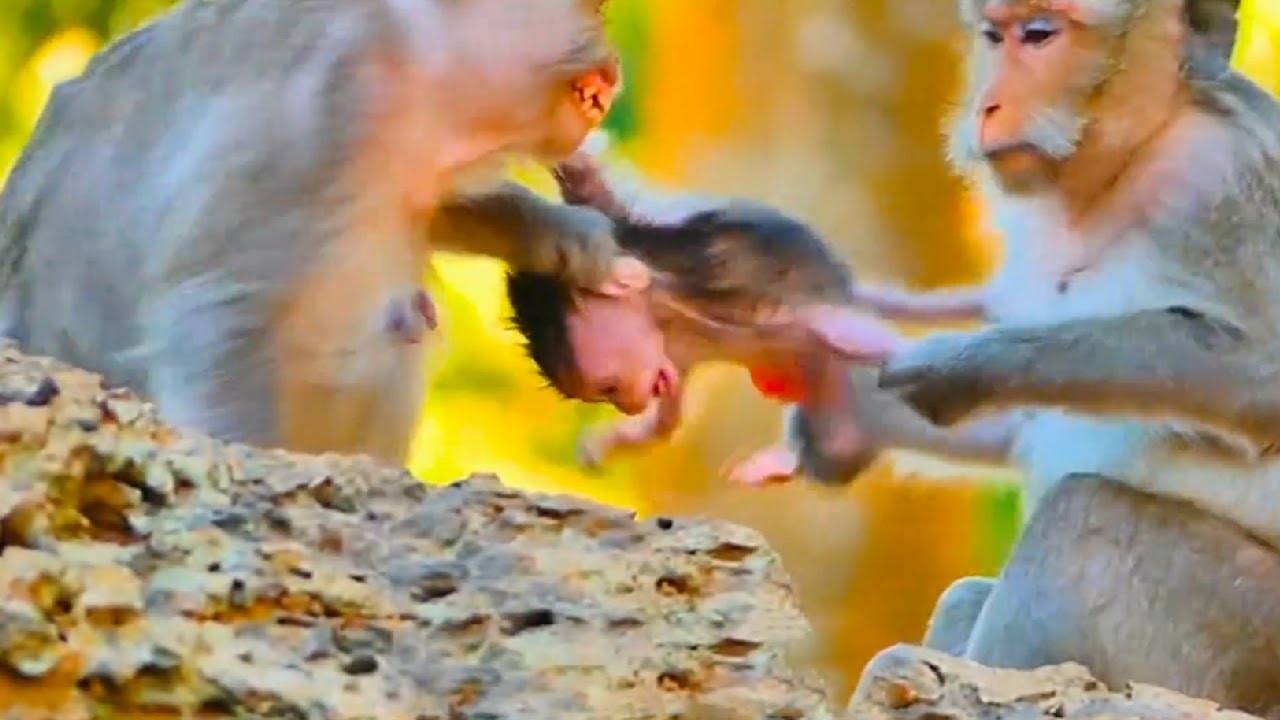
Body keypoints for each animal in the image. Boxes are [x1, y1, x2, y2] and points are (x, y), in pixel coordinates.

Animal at [0, 0, 645, 464]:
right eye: (595, 7)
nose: (616, 64)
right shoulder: (320, 107)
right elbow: (218, 303)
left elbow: (432, 206)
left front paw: (573, 240)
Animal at [761, 0, 1280, 713]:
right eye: (993, 36)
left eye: (1039, 36)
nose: (989, 104)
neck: (1129, 163)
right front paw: (846, 413)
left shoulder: (1225, 180)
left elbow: (1259, 377)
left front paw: (968, 364)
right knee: (970, 596)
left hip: (1237, 638)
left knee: (1080, 530)